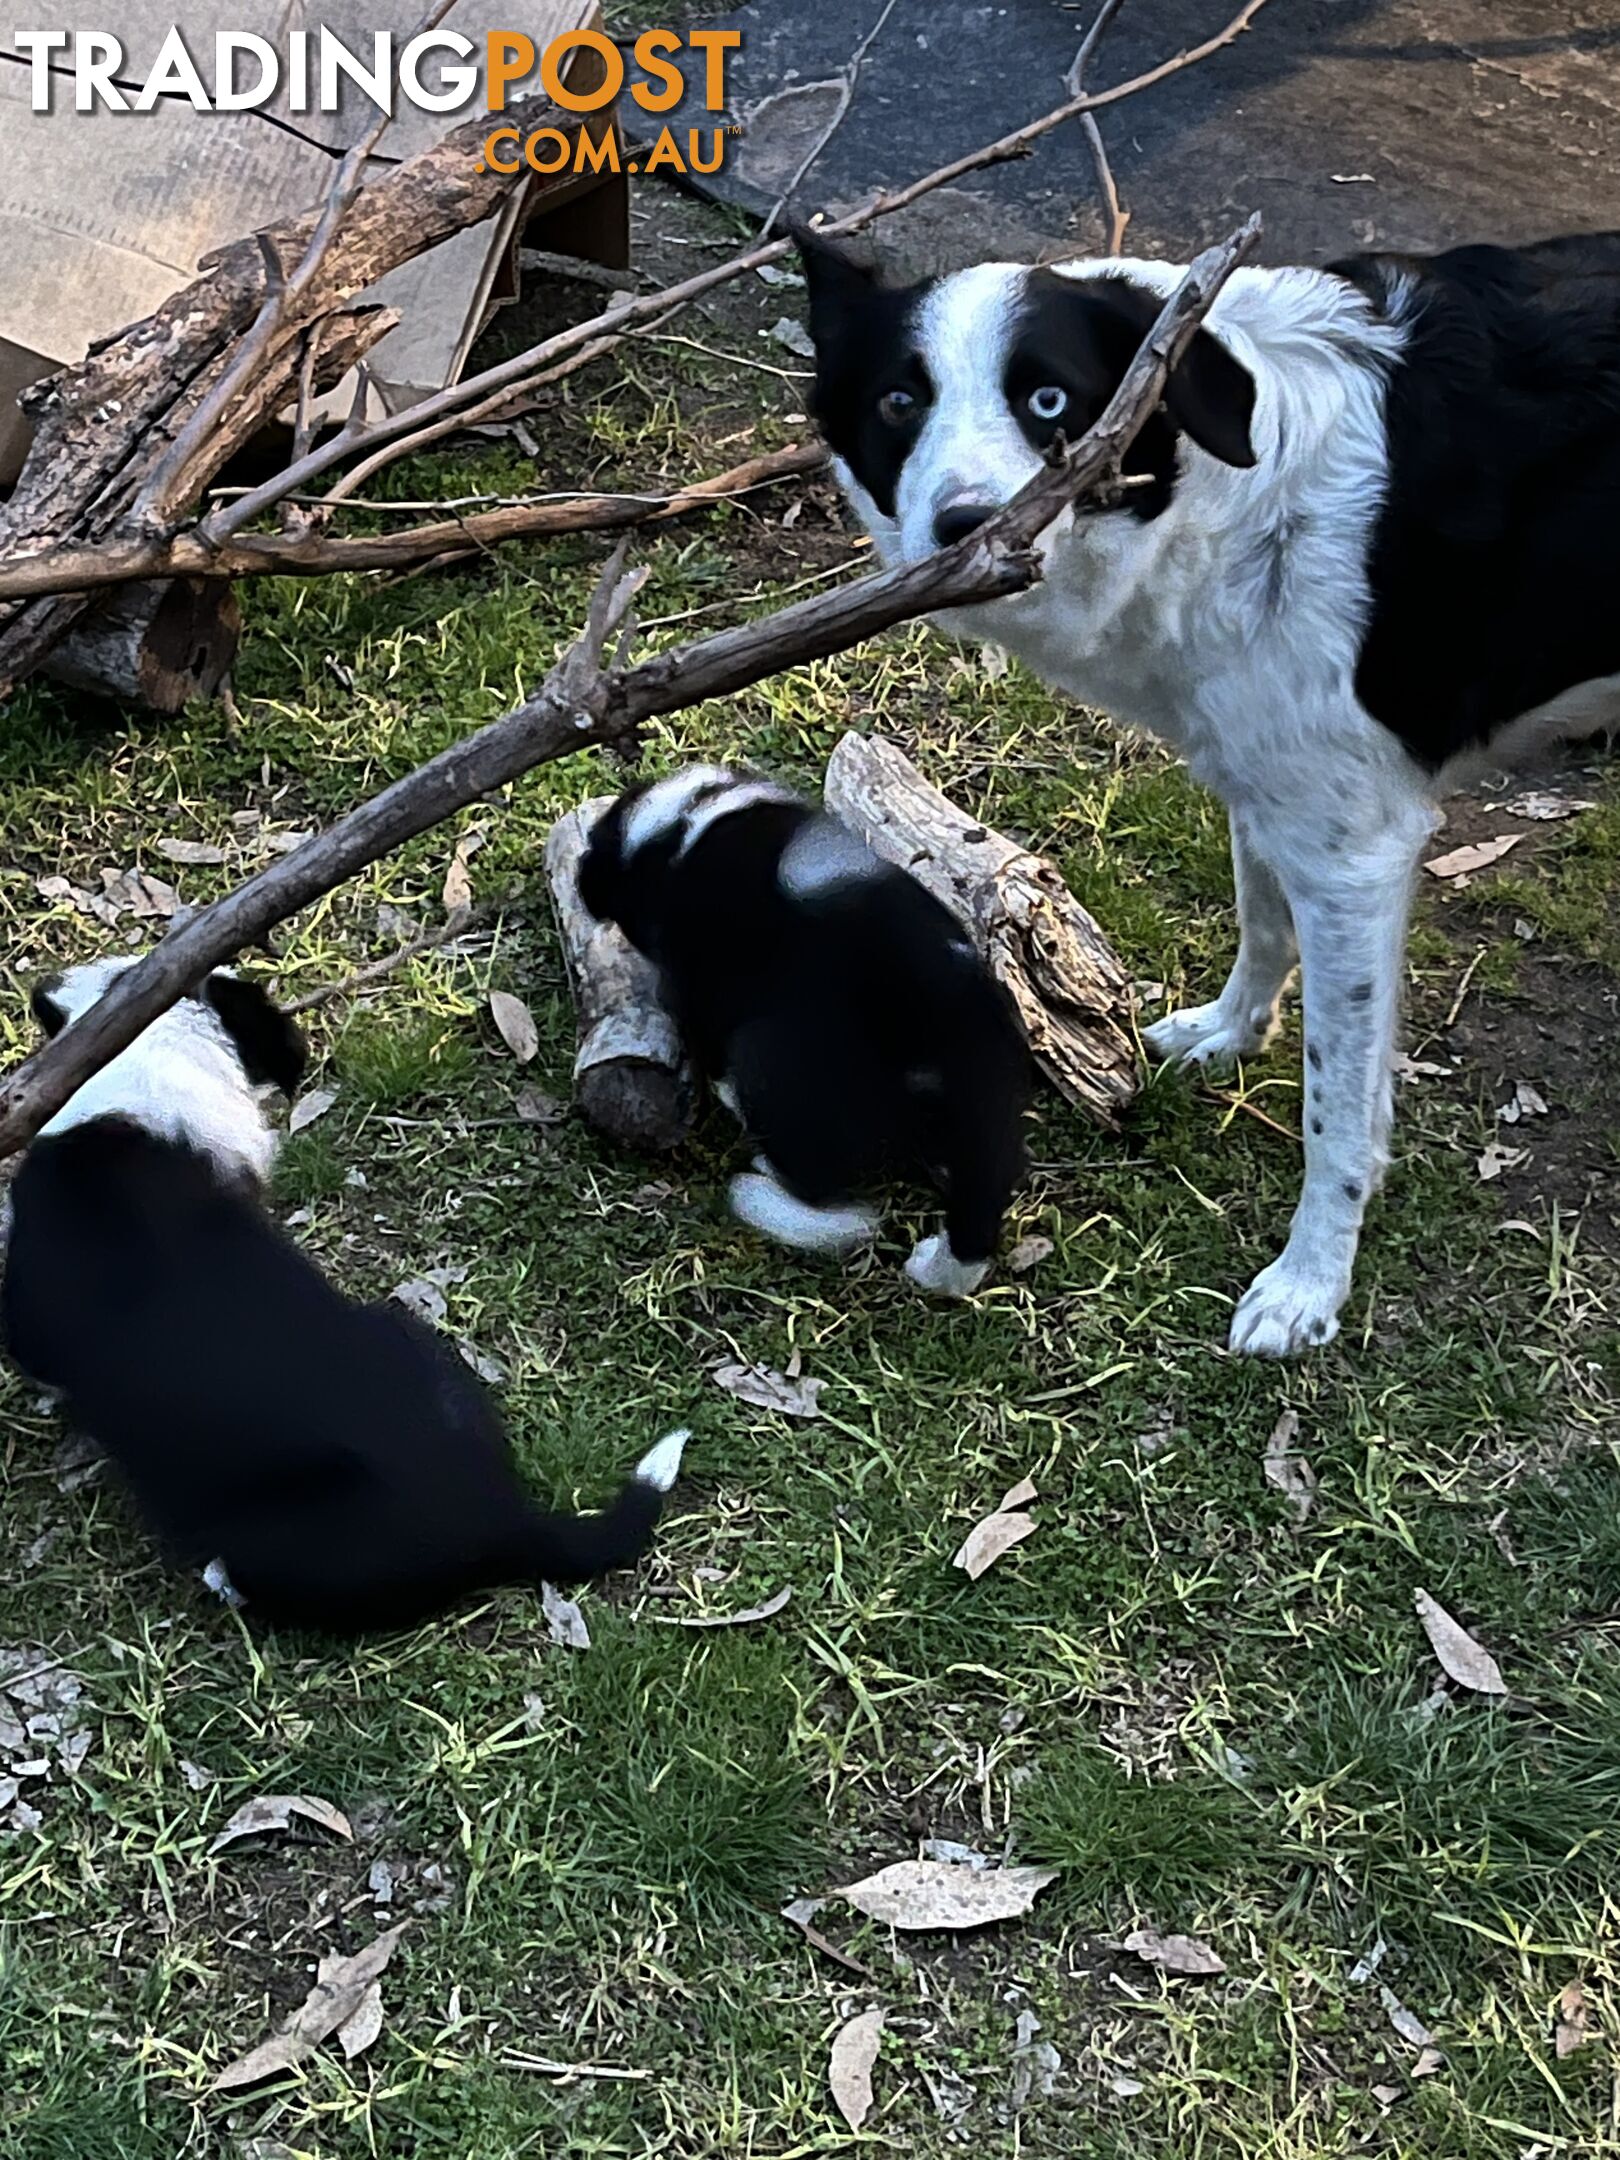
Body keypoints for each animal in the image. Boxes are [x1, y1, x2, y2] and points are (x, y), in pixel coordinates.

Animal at [578, 764, 1032, 1287]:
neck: (683, 829)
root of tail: (950, 1020)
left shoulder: (701, 982)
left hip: (773, 1060)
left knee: (826, 1193)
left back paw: (763, 1179)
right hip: (986, 1108)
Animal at [799, 227, 1620, 1356]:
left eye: (1050, 401)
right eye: (897, 401)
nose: (967, 527)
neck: (1232, 489)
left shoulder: (1357, 854)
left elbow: (1336, 1105)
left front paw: (1310, 1284)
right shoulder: (1269, 785)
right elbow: (1262, 924)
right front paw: (1230, 1034)